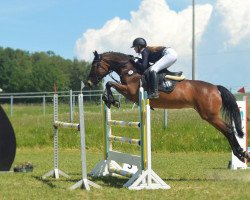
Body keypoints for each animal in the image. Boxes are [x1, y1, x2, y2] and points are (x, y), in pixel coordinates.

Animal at [87, 50, 249, 162]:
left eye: (95, 65)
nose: (89, 83)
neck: (130, 69)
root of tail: (215, 88)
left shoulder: (130, 91)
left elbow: (109, 83)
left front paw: (110, 99)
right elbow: (109, 84)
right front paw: (110, 100)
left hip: (210, 115)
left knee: (228, 130)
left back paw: (241, 154)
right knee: (228, 130)